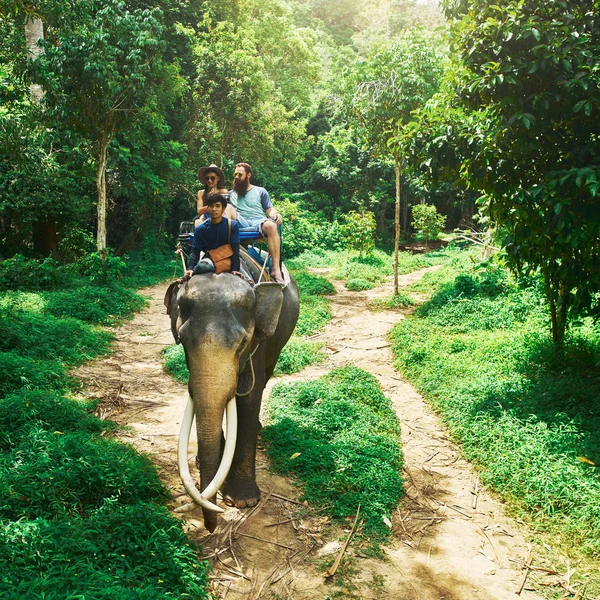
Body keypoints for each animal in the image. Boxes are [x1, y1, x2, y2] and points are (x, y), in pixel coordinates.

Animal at [165, 270, 298, 532]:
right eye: (182, 340)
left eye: (243, 343)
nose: (211, 527)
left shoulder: (258, 345)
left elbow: (248, 398)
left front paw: (242, 501)